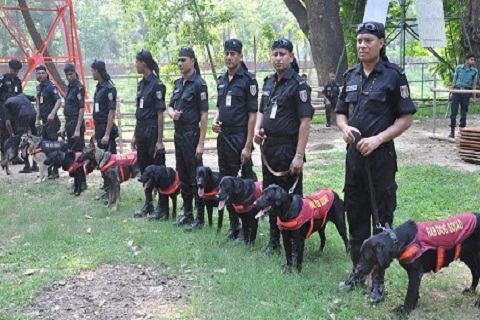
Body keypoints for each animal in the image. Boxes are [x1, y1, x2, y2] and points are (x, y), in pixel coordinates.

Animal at [348, 212, 480, 316]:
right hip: (470, 259)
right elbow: (414, 294)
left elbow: (409, 295)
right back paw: (471, 291)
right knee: (475, 275)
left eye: (367, 257)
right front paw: (412, 307)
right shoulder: (415, 274)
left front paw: (404, 313)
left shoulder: (416, 273)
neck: (398, 240)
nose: (356, 270)